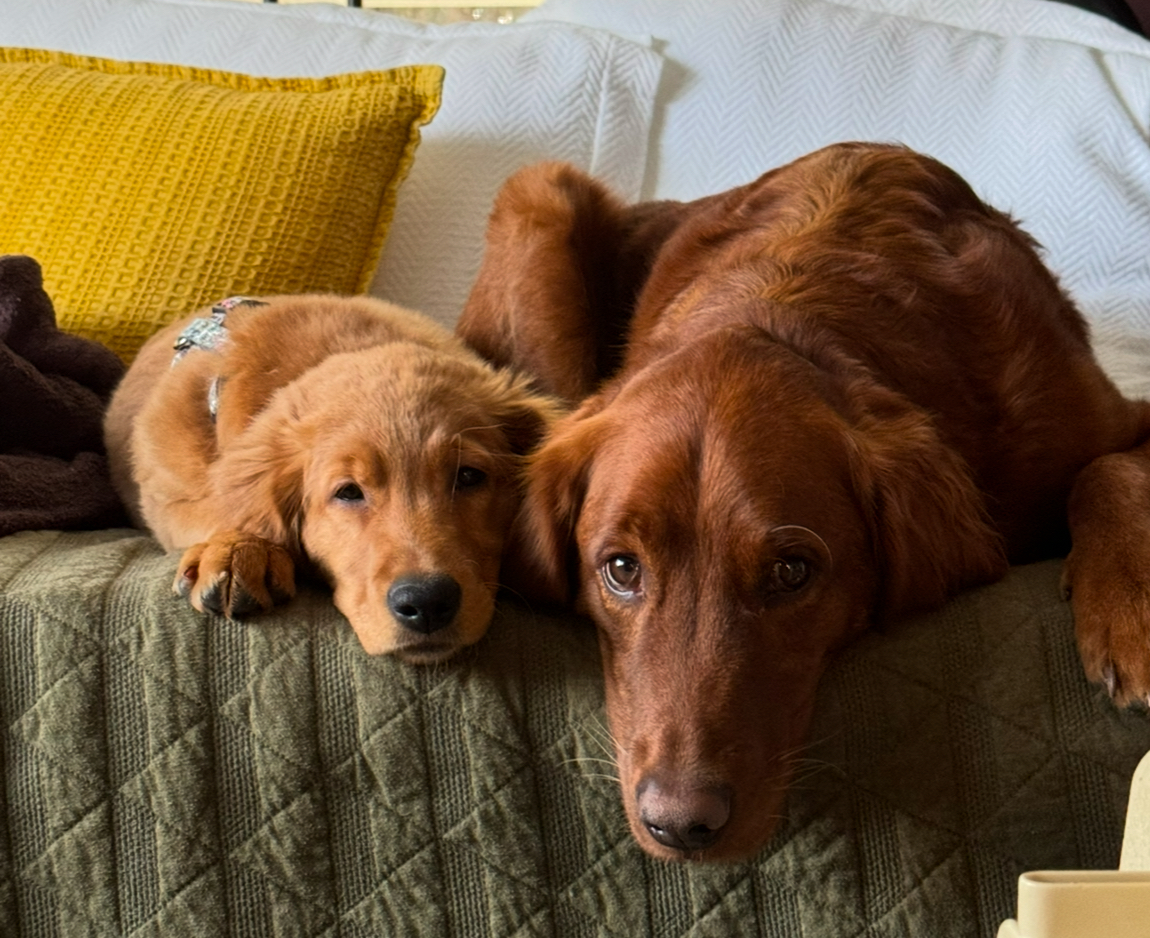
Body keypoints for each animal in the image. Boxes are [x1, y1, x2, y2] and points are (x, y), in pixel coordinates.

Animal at [105, 294, 561, 663]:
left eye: (468, 476)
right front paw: (240, 549)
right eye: (348, 492)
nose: (427, 603)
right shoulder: (168, 489)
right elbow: (214, 505)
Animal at [457, 142, 1150, 862]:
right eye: (620, 569)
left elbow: (1107, 467)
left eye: (792, 572)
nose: (679, 825)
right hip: (539, 195)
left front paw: (1128, 612)